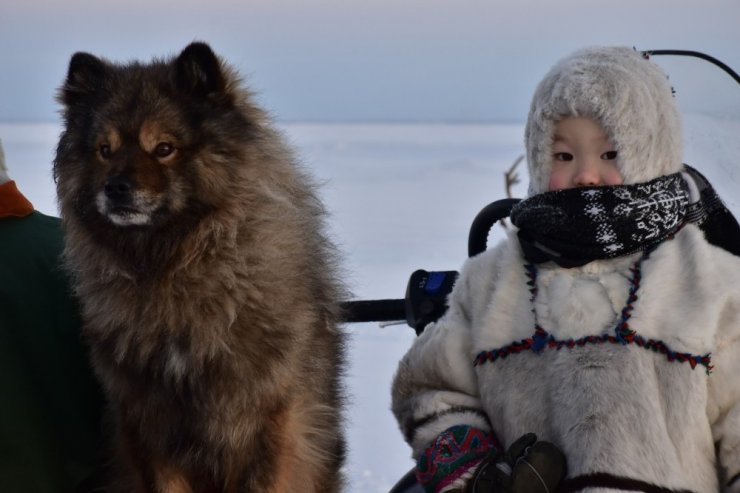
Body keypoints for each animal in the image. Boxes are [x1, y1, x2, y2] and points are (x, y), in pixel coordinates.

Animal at [53, 43, 348, 492]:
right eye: (105, 150)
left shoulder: (274, 421)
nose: (116, 188)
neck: (171, 268)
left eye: (164, 148)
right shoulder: (150, 425)